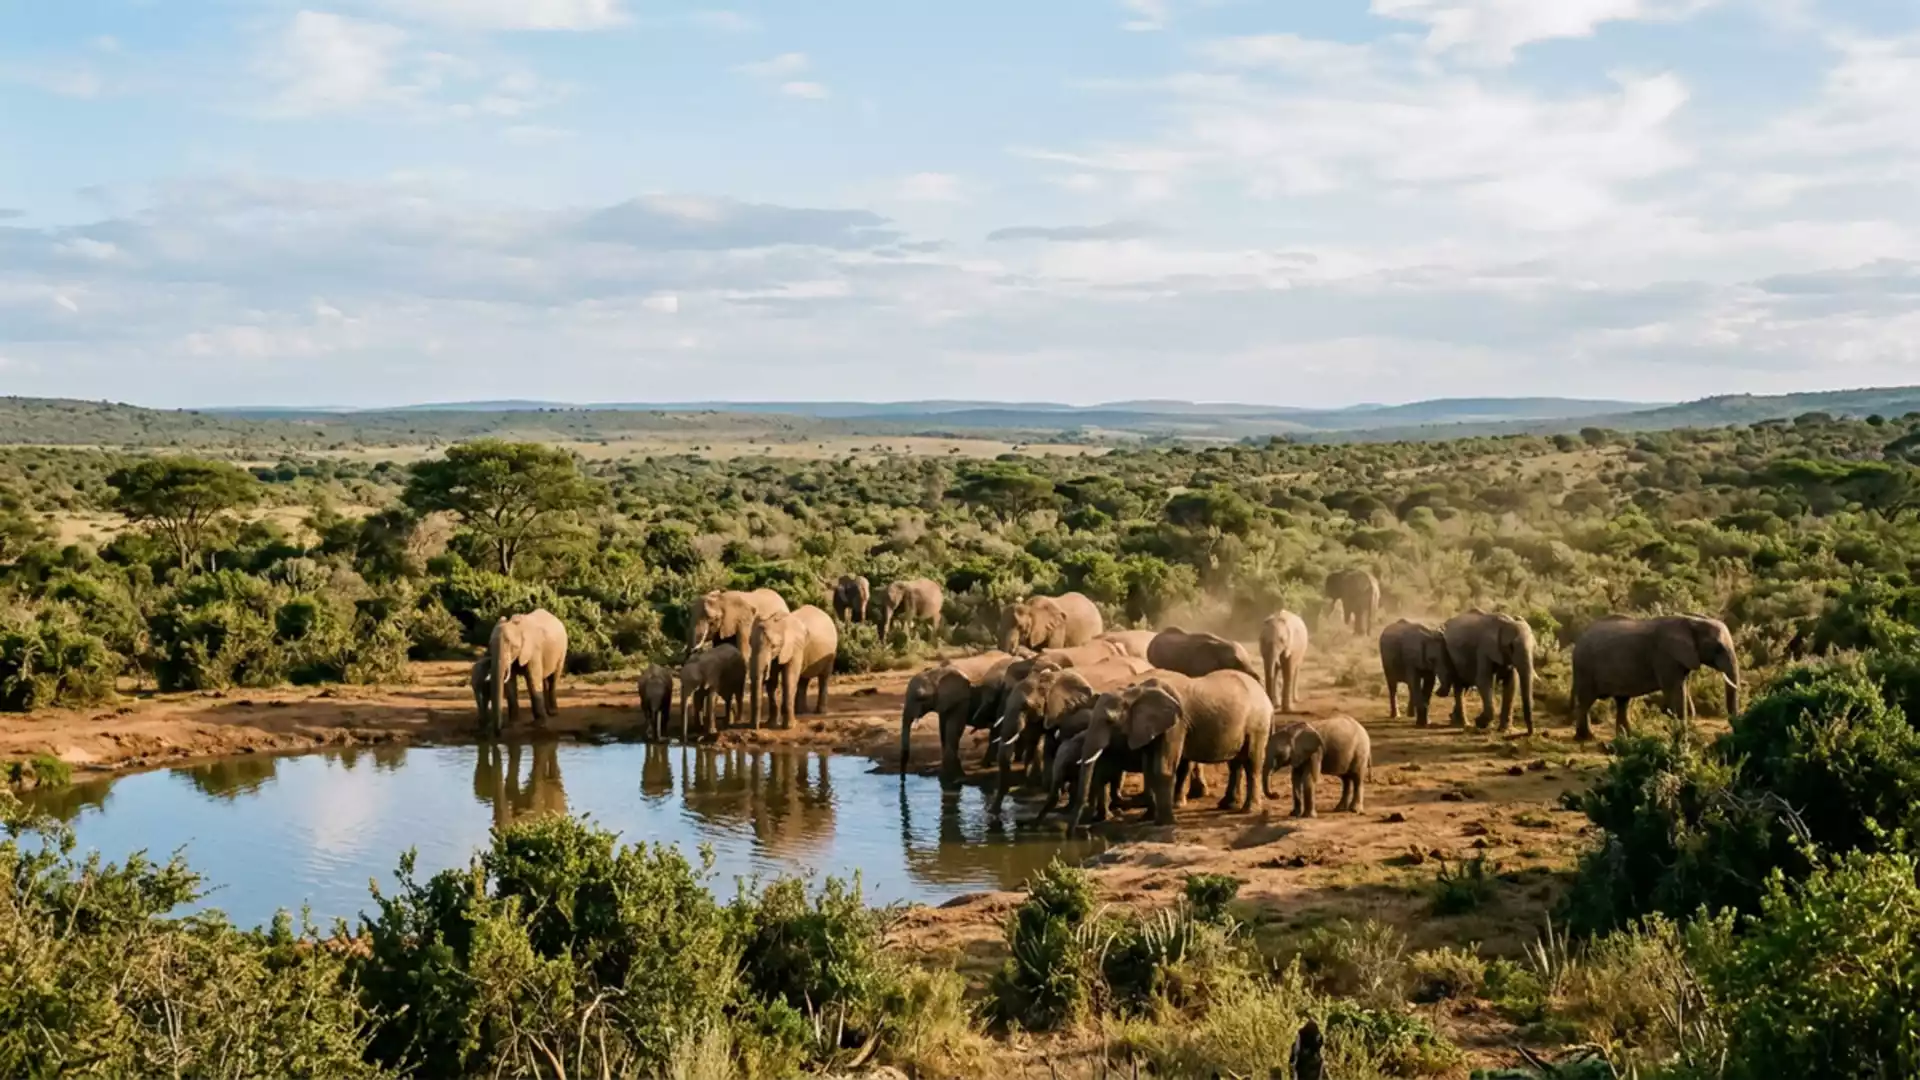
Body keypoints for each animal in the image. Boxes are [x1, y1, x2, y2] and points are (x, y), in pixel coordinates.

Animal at [898, 651, 1013, 787]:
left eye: (921, 697)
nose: (903, 781)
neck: (936, 673)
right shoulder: (944, 701)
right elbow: (943, 731)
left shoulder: (962, 698)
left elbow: (953, 730)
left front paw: (953, 779)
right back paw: (987, 764)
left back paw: (987, 764)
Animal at [1081, 670, 1273, 826]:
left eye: (1109, 721)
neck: (1135, 693)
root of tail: (1265, 694)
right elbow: (1149, 770)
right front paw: (1147, 818)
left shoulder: (1176, 725)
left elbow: (1162, 769)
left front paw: (1164, 823)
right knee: (1235, 762)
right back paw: (1227, 805)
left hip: (1257, 723)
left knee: (1252, 762)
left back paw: (1248, 810)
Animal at [1570, 614, 1740, 741]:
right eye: (1718, 648)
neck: (1692, 622)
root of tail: (1578, 641)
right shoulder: (1665, 656)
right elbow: (1675, 691)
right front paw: (1683, 736)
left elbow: (1682, 689)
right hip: (1585, 667)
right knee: (1586, 701)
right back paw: (1587, 738)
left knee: (1622, 701)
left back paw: (1627, 737)